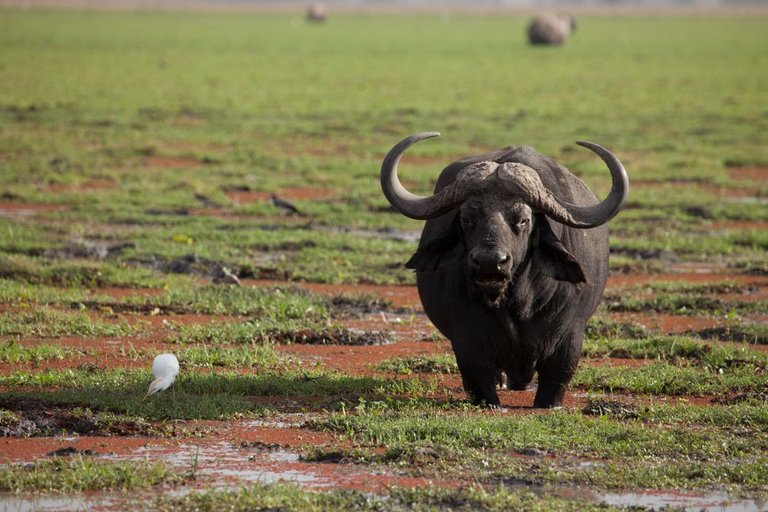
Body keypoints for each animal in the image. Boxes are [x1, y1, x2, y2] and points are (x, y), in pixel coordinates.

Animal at [380, 132, 628, 408]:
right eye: (467, 219)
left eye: (523, 220)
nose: (489, 262)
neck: (519, 302)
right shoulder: (466, 345)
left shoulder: (569, 342)